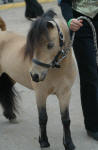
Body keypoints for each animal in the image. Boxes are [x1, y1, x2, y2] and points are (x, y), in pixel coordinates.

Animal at [0, 10, 76, 150]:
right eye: (32, 44)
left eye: (50, 45)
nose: (35, 75)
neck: (57, 70)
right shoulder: (40, 94)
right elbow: (43, 118)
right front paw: (44, 141)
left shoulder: (65, 94)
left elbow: (66, 119)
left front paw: (68, 143)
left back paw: (10, 115)